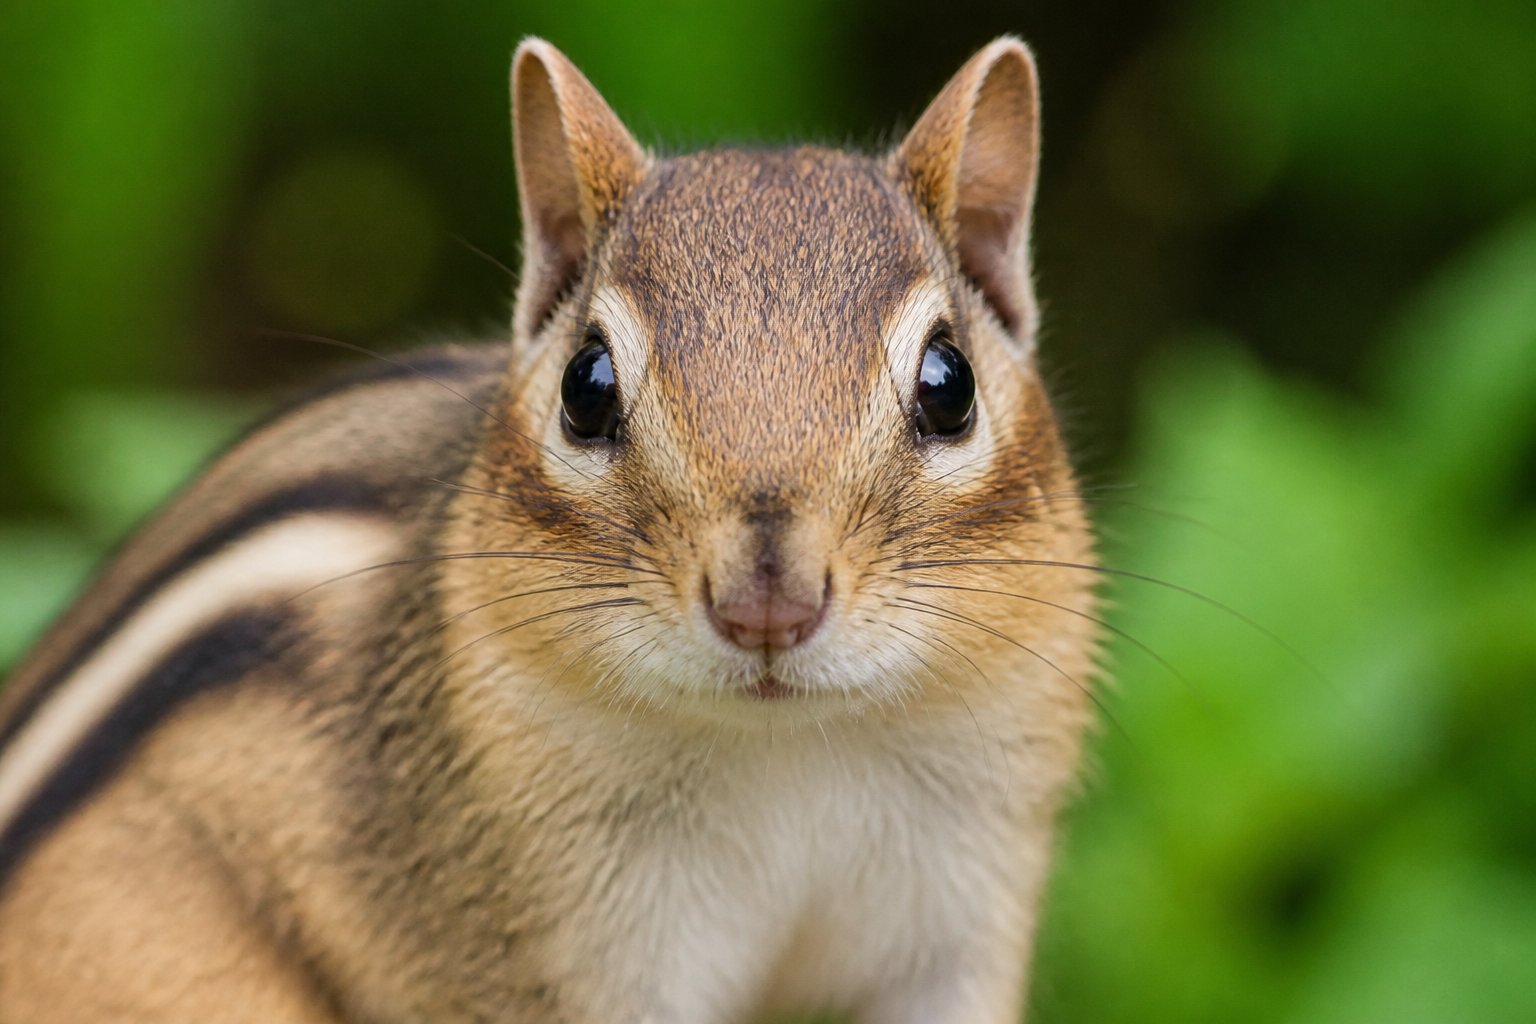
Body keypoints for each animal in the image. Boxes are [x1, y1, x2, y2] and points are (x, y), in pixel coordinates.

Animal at [0, 37, 1100, 1023]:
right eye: (587, 386)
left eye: (949, 385)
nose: (767, 603)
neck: (788, 750)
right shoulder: (559, 939)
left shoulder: (964, 915)